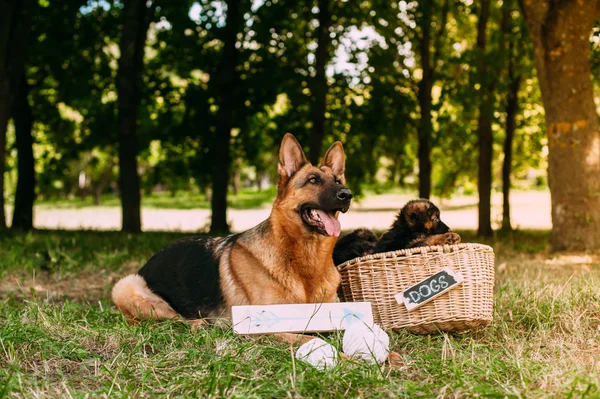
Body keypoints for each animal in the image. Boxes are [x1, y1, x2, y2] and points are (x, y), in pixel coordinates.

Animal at [111, 134, 352, 334]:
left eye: (337, 181)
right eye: (313, 180)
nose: (347, 194)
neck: (305, 260)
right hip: (125, 287)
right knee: (171, 319)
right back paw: (198, 324)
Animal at [332, 198, 460, 266]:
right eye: (436, 219)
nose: (449, 229)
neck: (407, 230)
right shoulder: (407, 246)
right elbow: (427, 239)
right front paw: (450, 237)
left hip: (366, 233)